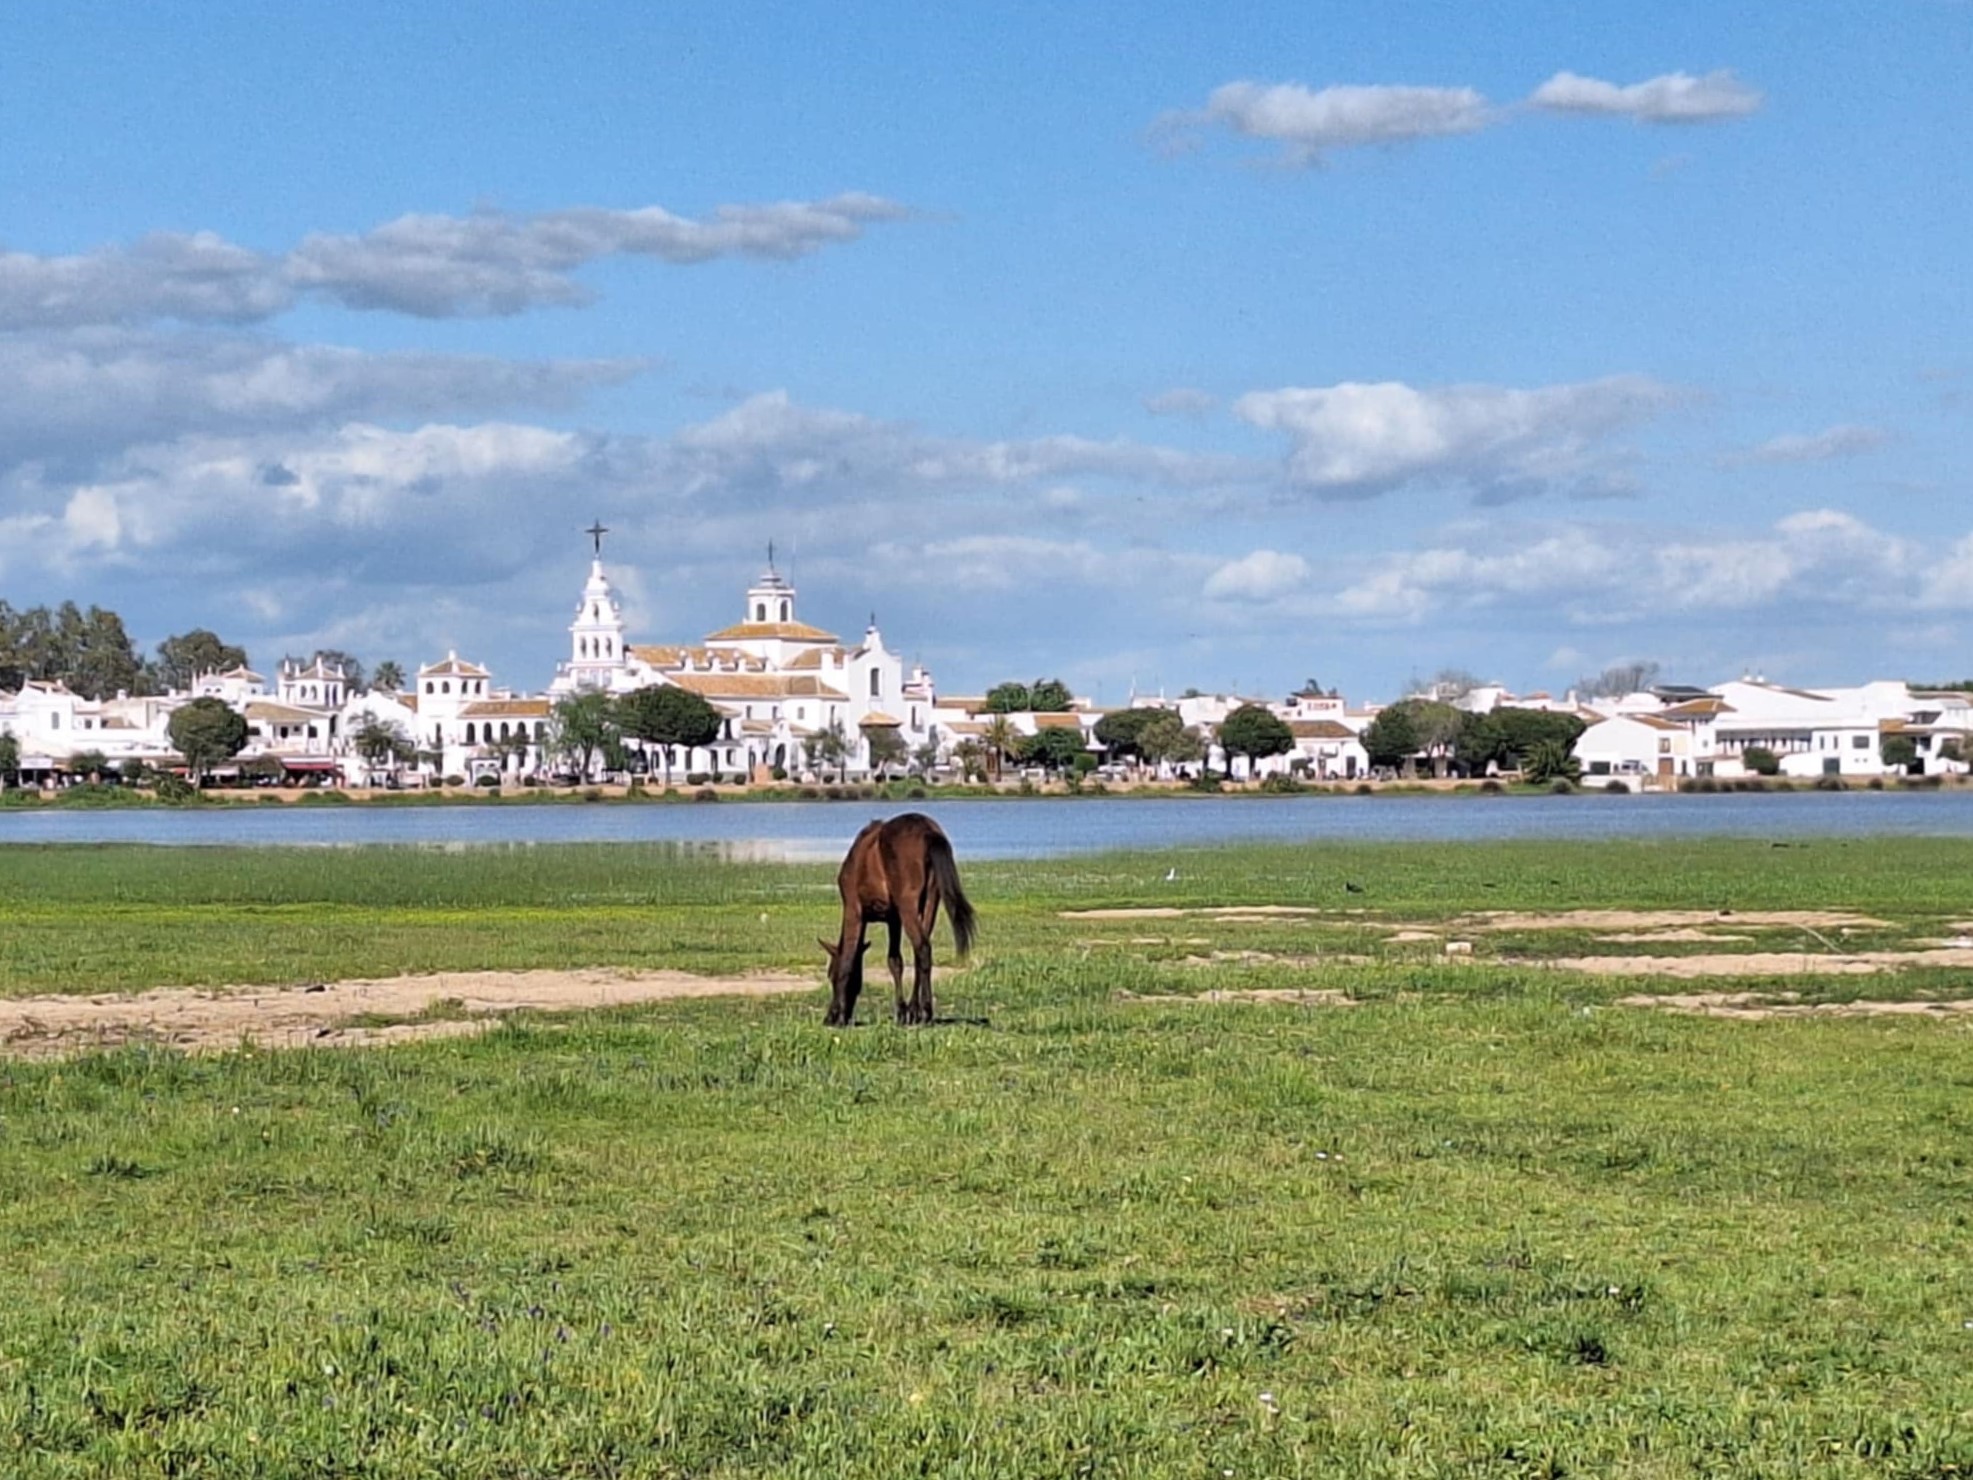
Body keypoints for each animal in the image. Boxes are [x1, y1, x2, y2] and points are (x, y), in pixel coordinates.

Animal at [820, 812, 976, 1026]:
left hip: (908, 905)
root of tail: (928, 831)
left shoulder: (854, 910)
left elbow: (848, 960)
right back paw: (915, 1010)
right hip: (931, 901)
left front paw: (840, 1016)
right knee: (921, 951)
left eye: (830, 974)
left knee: (922, 948)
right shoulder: (894, 919)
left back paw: (925, 1011)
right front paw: (901, 1011)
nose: (829, 1017)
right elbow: (895, 961)